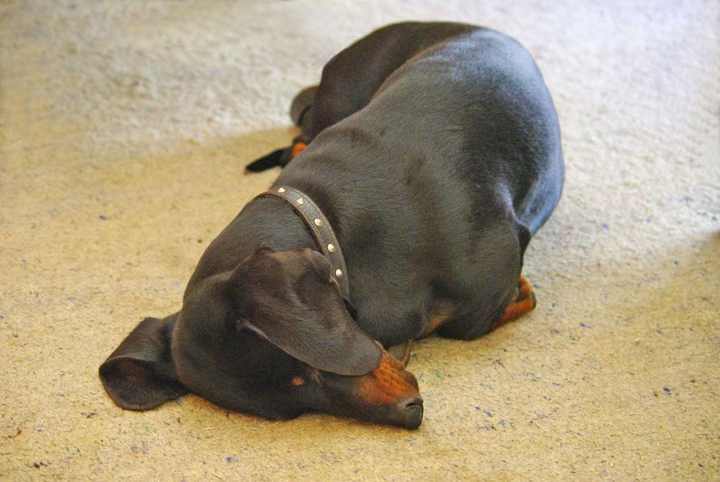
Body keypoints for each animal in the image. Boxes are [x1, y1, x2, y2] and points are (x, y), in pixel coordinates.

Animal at [100, 22, 564, 430]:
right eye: (297, 399)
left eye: (311, 370)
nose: (410, 413)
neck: (331, 226)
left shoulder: (490, 288)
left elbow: (504, 304)